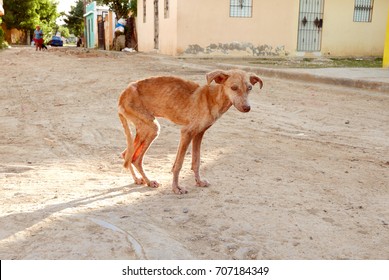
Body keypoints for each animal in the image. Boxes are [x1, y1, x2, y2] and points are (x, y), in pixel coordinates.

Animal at [118, 69, 262, 194]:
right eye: (234, 88)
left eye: (250, 88)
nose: (247, 108)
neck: (212, 99)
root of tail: (123, 94)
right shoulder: (186, 132)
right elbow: (179, 164)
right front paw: (176, 188)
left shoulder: (198, 134)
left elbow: (196, 162)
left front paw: (199, 182)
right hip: (152, 128)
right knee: (135, 159)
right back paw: (149, 181)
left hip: (144, 129)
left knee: (126, 154)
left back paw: (137, 179)